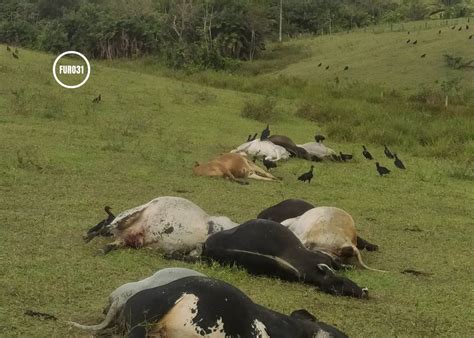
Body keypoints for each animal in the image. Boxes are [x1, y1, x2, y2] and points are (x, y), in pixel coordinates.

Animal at [202, 219, 368, 298]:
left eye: (343, 281)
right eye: (335, 288)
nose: (364, 292)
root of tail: (207, 245)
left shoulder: (323, 257)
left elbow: (336, 262)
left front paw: (347, 266)